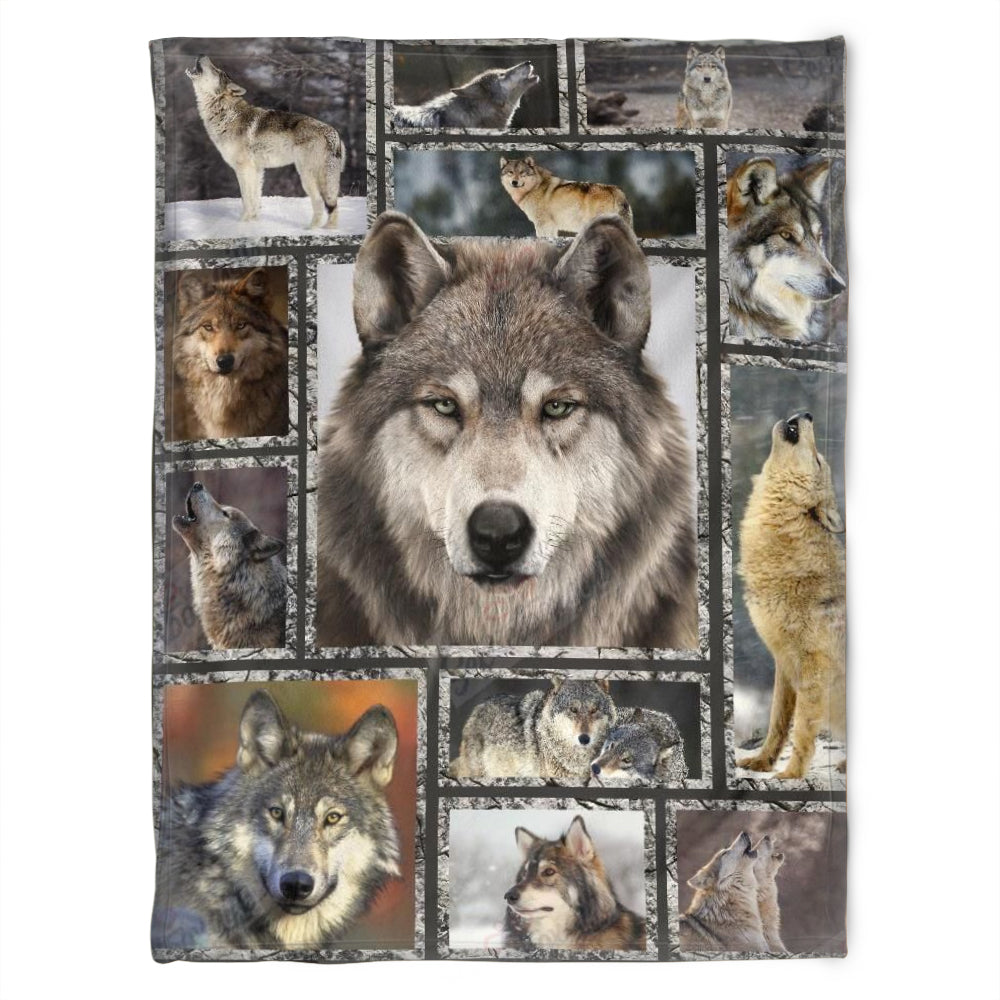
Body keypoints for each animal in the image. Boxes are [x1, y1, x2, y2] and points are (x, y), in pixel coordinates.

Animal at [185, 55, 344, 228]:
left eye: (217, 71)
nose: (202, 55)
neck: (225, 113)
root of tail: (333, 133)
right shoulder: (257, 170)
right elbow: (255, 200)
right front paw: (253, 223)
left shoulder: (244, 168)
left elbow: (246, 199)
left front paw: (242, 224)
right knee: (334, 206)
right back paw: (329, 229)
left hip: (307, 176)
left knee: (320, 202)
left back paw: (310, 229)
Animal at [499, 156, 633, 237]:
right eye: (510, 172)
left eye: (522, 173)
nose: (514, 182)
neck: (534, 188)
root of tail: (615, 190)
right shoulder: (551, 226)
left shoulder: (543, 223)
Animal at [737, 413, 847, 779]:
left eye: (818, 461)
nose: (808, 414)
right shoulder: (783, 660)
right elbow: (778, 722)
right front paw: (761, 763)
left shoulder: (814, 664)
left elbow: (802, 728)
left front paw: (791, 775)